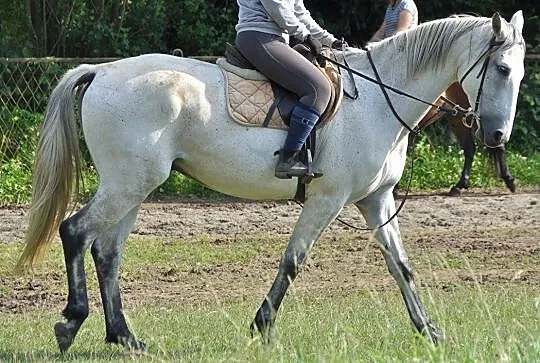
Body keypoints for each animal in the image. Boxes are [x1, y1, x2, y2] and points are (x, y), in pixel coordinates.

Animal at [20, 12, 524, 354]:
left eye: (519, 72)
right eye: (501, 69)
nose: (498, 137)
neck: (378, 100)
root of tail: (102, 71)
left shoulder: (377, 201)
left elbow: (402, 267)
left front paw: (430, 331)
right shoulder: (328, 199)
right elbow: (293, 262)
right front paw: (260, 328)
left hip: (135, 188)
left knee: (107, 252)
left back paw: (125, 338)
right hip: (128, 184)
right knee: (75, 232)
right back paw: (71, 323)